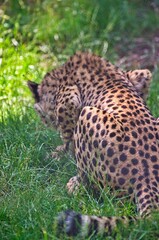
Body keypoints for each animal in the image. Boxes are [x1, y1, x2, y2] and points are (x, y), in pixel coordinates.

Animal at [28, 51, 158, 237]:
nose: (44, 120)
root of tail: (148, 175)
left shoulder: (69, 99)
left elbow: (67, 135)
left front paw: (60, 153)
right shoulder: (141, 75)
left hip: (87, 113)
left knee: (94, 188)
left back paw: (75, 184)